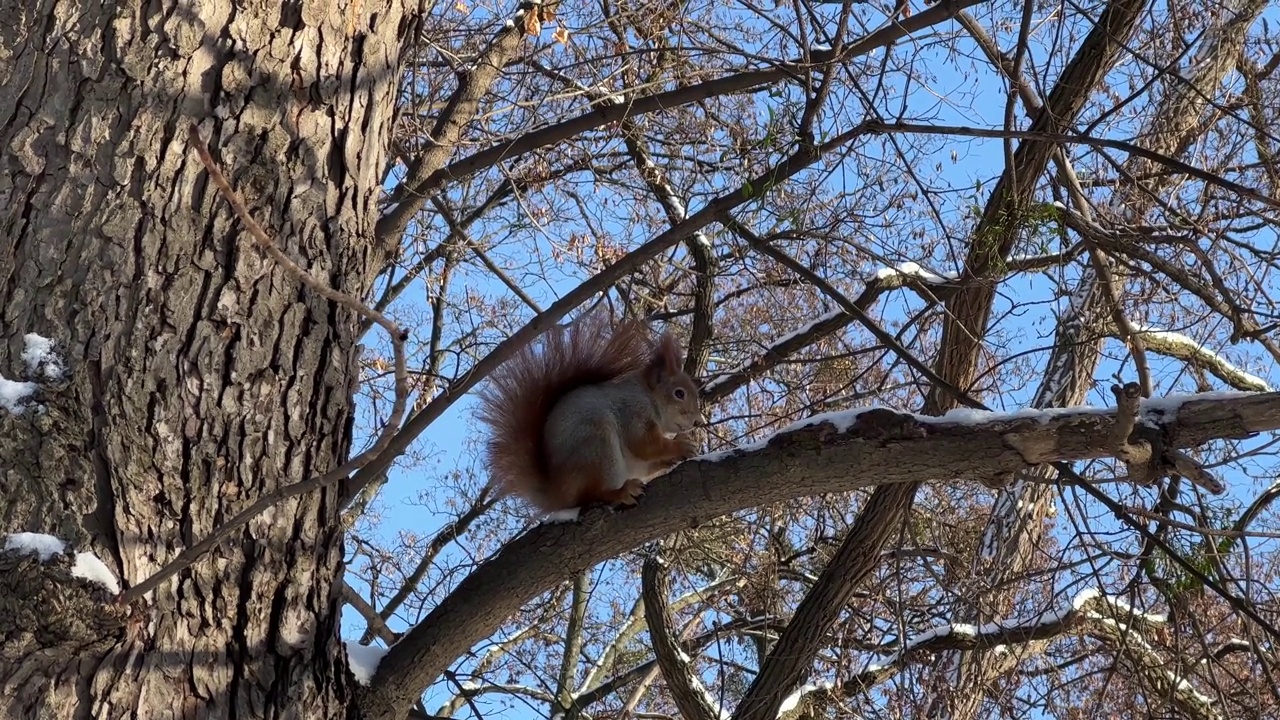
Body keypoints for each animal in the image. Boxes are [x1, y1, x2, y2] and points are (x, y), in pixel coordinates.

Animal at [478, 311, 706, 512]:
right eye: (679, 393)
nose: (699, 421)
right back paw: (620, 492)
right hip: (597, 446)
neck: (649, 396)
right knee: (590, 494)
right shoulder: (633, 411)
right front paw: (680, 446)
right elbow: (643, 443)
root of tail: (558, 494)